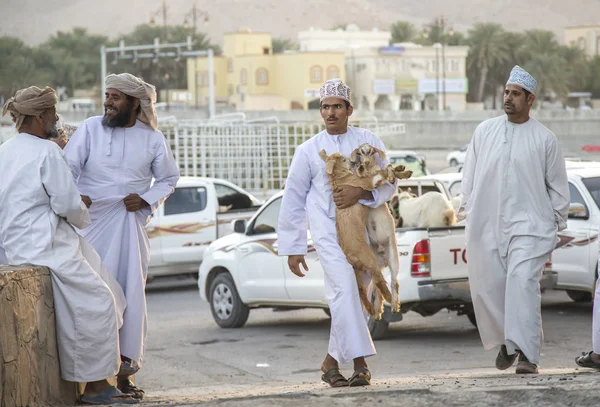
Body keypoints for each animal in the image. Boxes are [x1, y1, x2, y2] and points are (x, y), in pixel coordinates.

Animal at [316, 151, 396, 318]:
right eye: (344, 159)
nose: (355, 162)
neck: (341, 179)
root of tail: (351, 257)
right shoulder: (364, 183)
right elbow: (376, 176)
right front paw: (390, 171)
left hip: (356, 272)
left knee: (361, 290)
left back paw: (371, 309)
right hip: (370, 261)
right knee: (378, 280)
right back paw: (389, 299)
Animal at [346, 143, 412, 318]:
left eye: (371, 151)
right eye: (360, 152)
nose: (365, 162)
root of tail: (382, 256)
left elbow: (389, 169)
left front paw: (402, 171)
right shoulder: (364, 177)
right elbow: (383, 171)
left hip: (394, 259)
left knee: (394, 282)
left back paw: (394, 305)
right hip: (373, 265)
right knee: (377, 286)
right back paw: (377, 311)